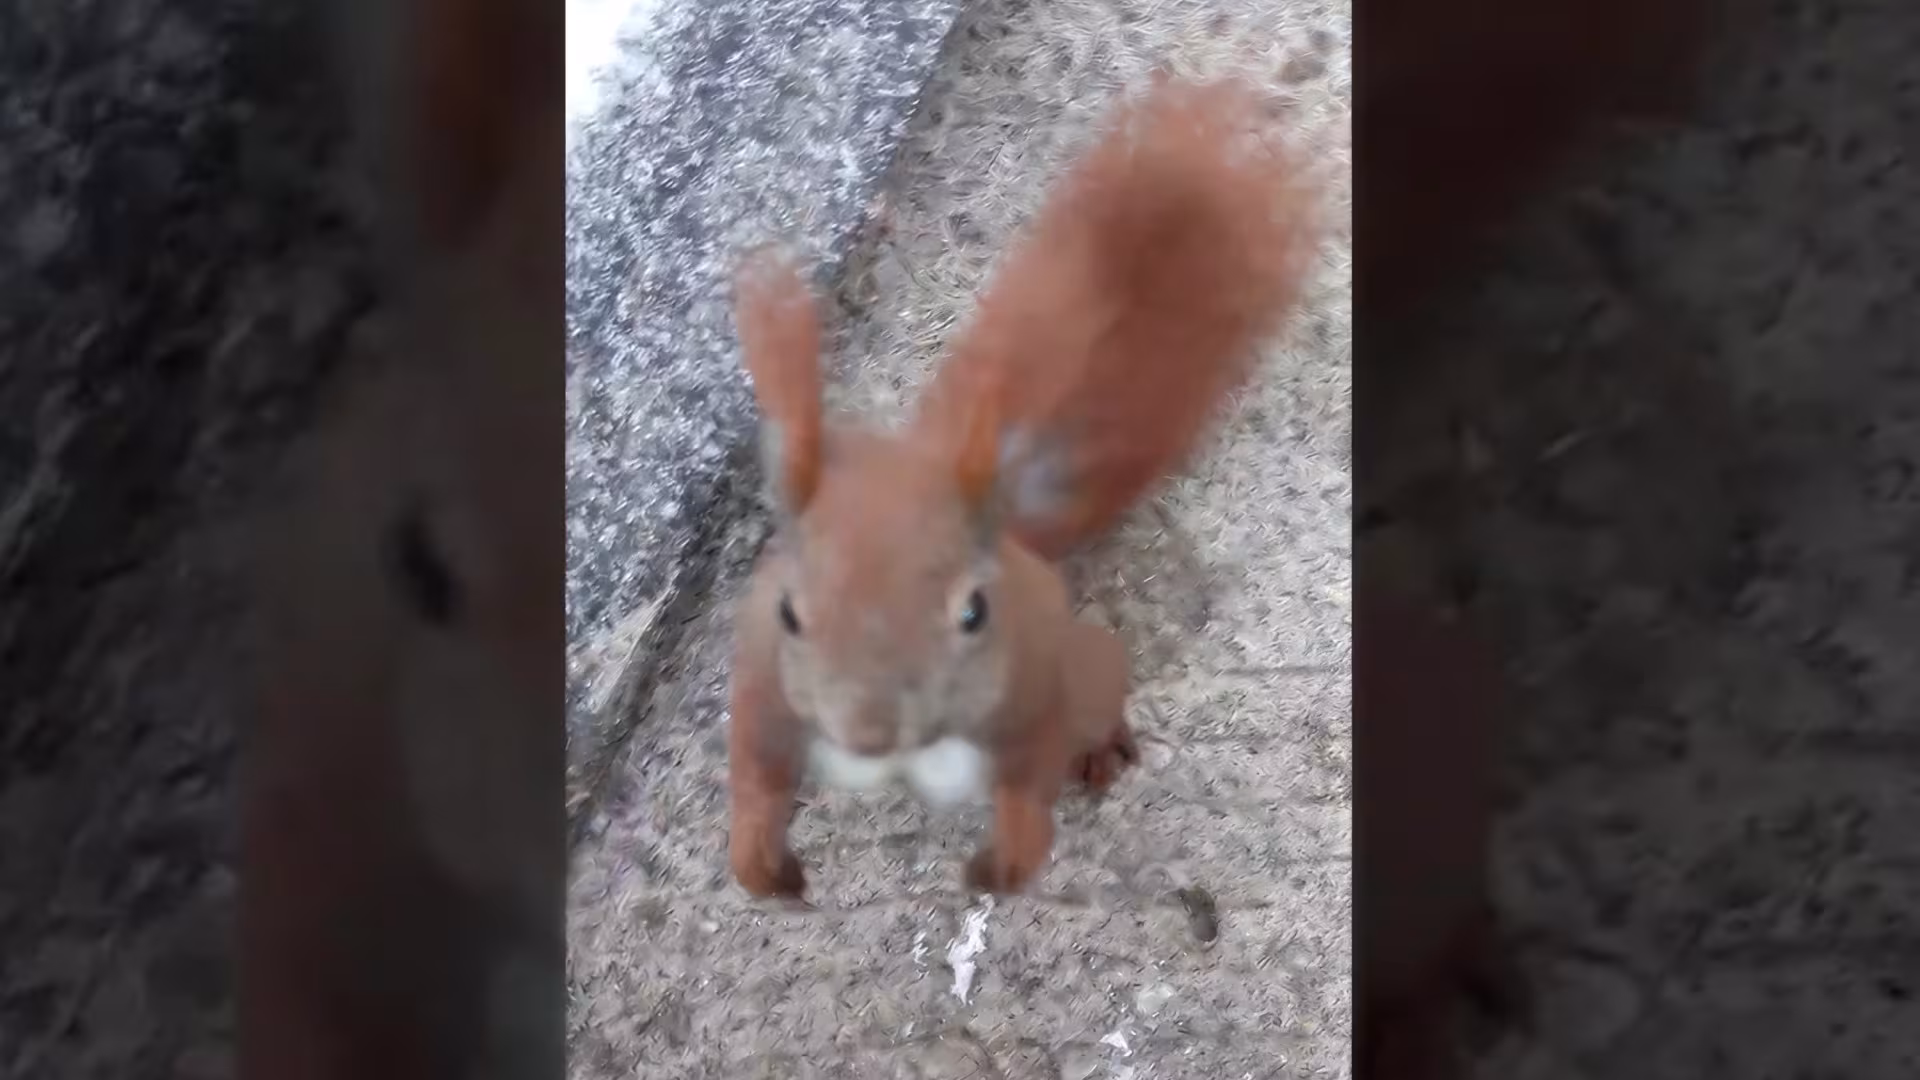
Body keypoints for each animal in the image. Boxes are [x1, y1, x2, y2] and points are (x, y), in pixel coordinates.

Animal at [726, 76, 1321, 899]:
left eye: (975, 612)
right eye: (790, 611)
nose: (870, 732)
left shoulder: (1034, 686)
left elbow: (1028, 788)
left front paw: (1004, 861)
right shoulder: (760, 679)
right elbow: (752, 767)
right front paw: (757, 861)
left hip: (1076, 661)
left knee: (1100, 687)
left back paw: (1103, 748)